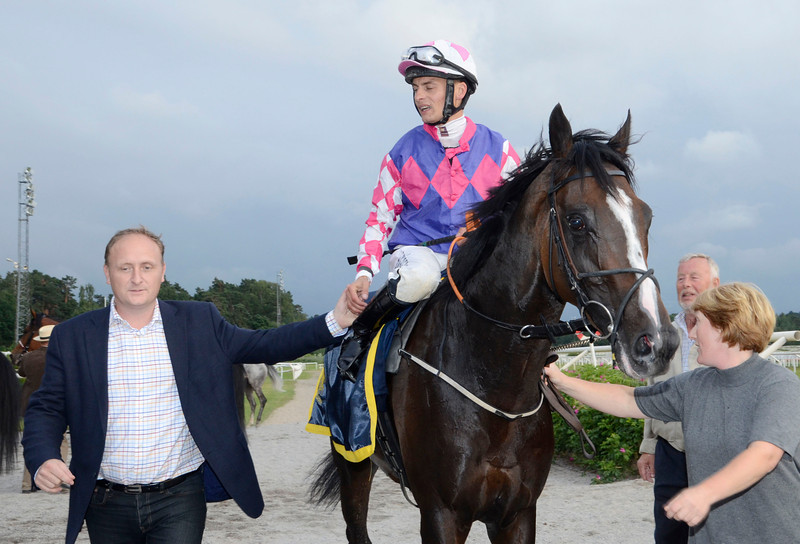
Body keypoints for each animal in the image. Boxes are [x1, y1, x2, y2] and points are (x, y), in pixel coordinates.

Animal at [310, 104, 680, 540]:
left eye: (647, 217)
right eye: (576, 221)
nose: (656, 341)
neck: (495, 382)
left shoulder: (517, 511)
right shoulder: (440, 513)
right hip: (352, 460)